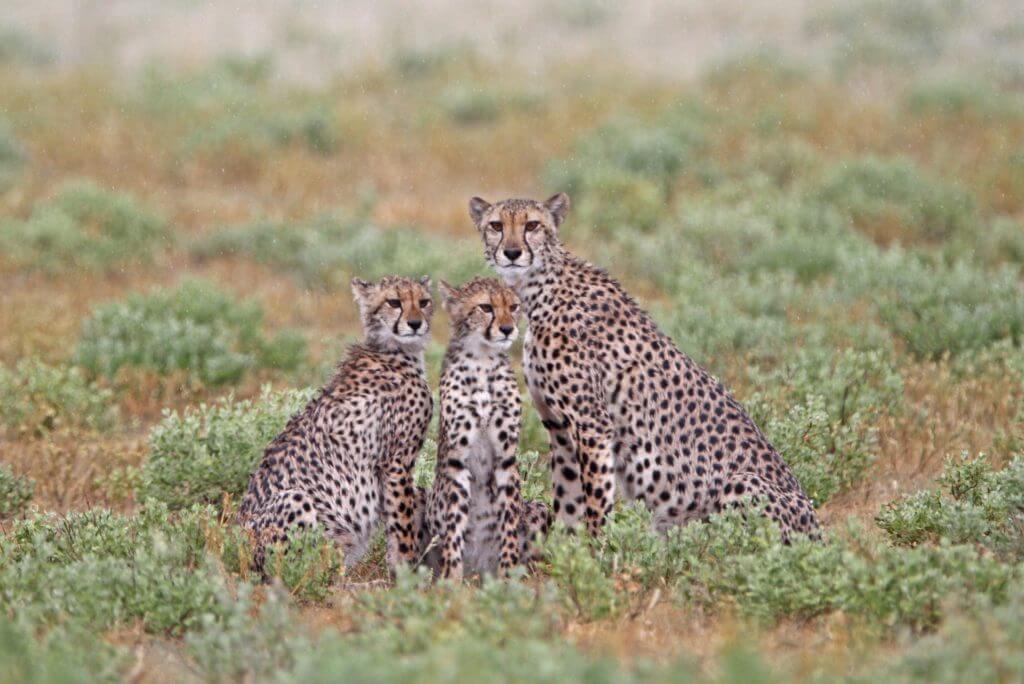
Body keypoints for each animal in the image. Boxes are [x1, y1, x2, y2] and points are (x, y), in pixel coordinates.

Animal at [237, 274, 434, 569]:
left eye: (423, 302)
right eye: (394, 302)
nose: (415, 323)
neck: (394, 350)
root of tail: (234, 543)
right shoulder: (395, 463)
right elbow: (403, 526)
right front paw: (409, 571)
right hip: (296, 499)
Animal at [468, 191, 819, 540]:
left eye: (532, 225)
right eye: (497, 225)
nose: (512, 252)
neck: (539, 287)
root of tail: (818, 531)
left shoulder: (593, 424)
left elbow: (596, 500)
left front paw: (595, 548)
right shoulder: (558, 426)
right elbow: (568, 498)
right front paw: (567, 549)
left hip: (741, 483)